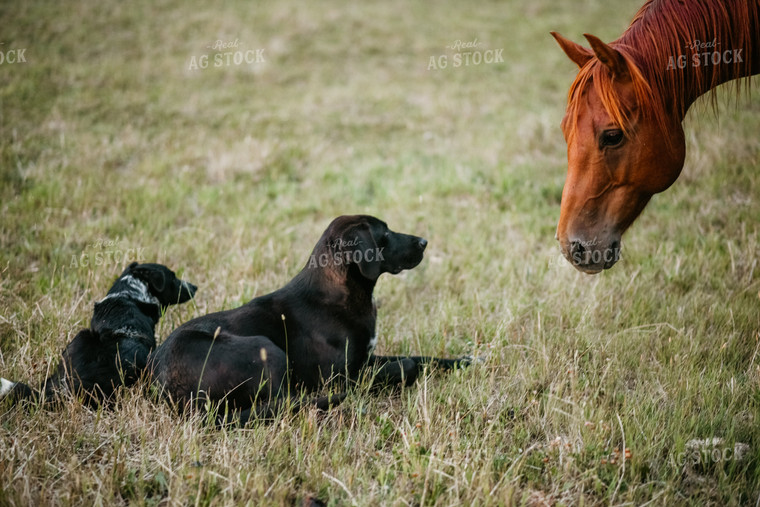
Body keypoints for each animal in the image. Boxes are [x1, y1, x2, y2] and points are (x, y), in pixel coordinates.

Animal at [148, 216, 470, 426]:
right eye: (386, 234)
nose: (424, 242)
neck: (339, 296)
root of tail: (171, 392)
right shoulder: (342, 375)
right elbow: (408, 365)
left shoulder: (366, 357)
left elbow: (422, 357)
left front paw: (464, 361)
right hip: (265, 349)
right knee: (282, 403)